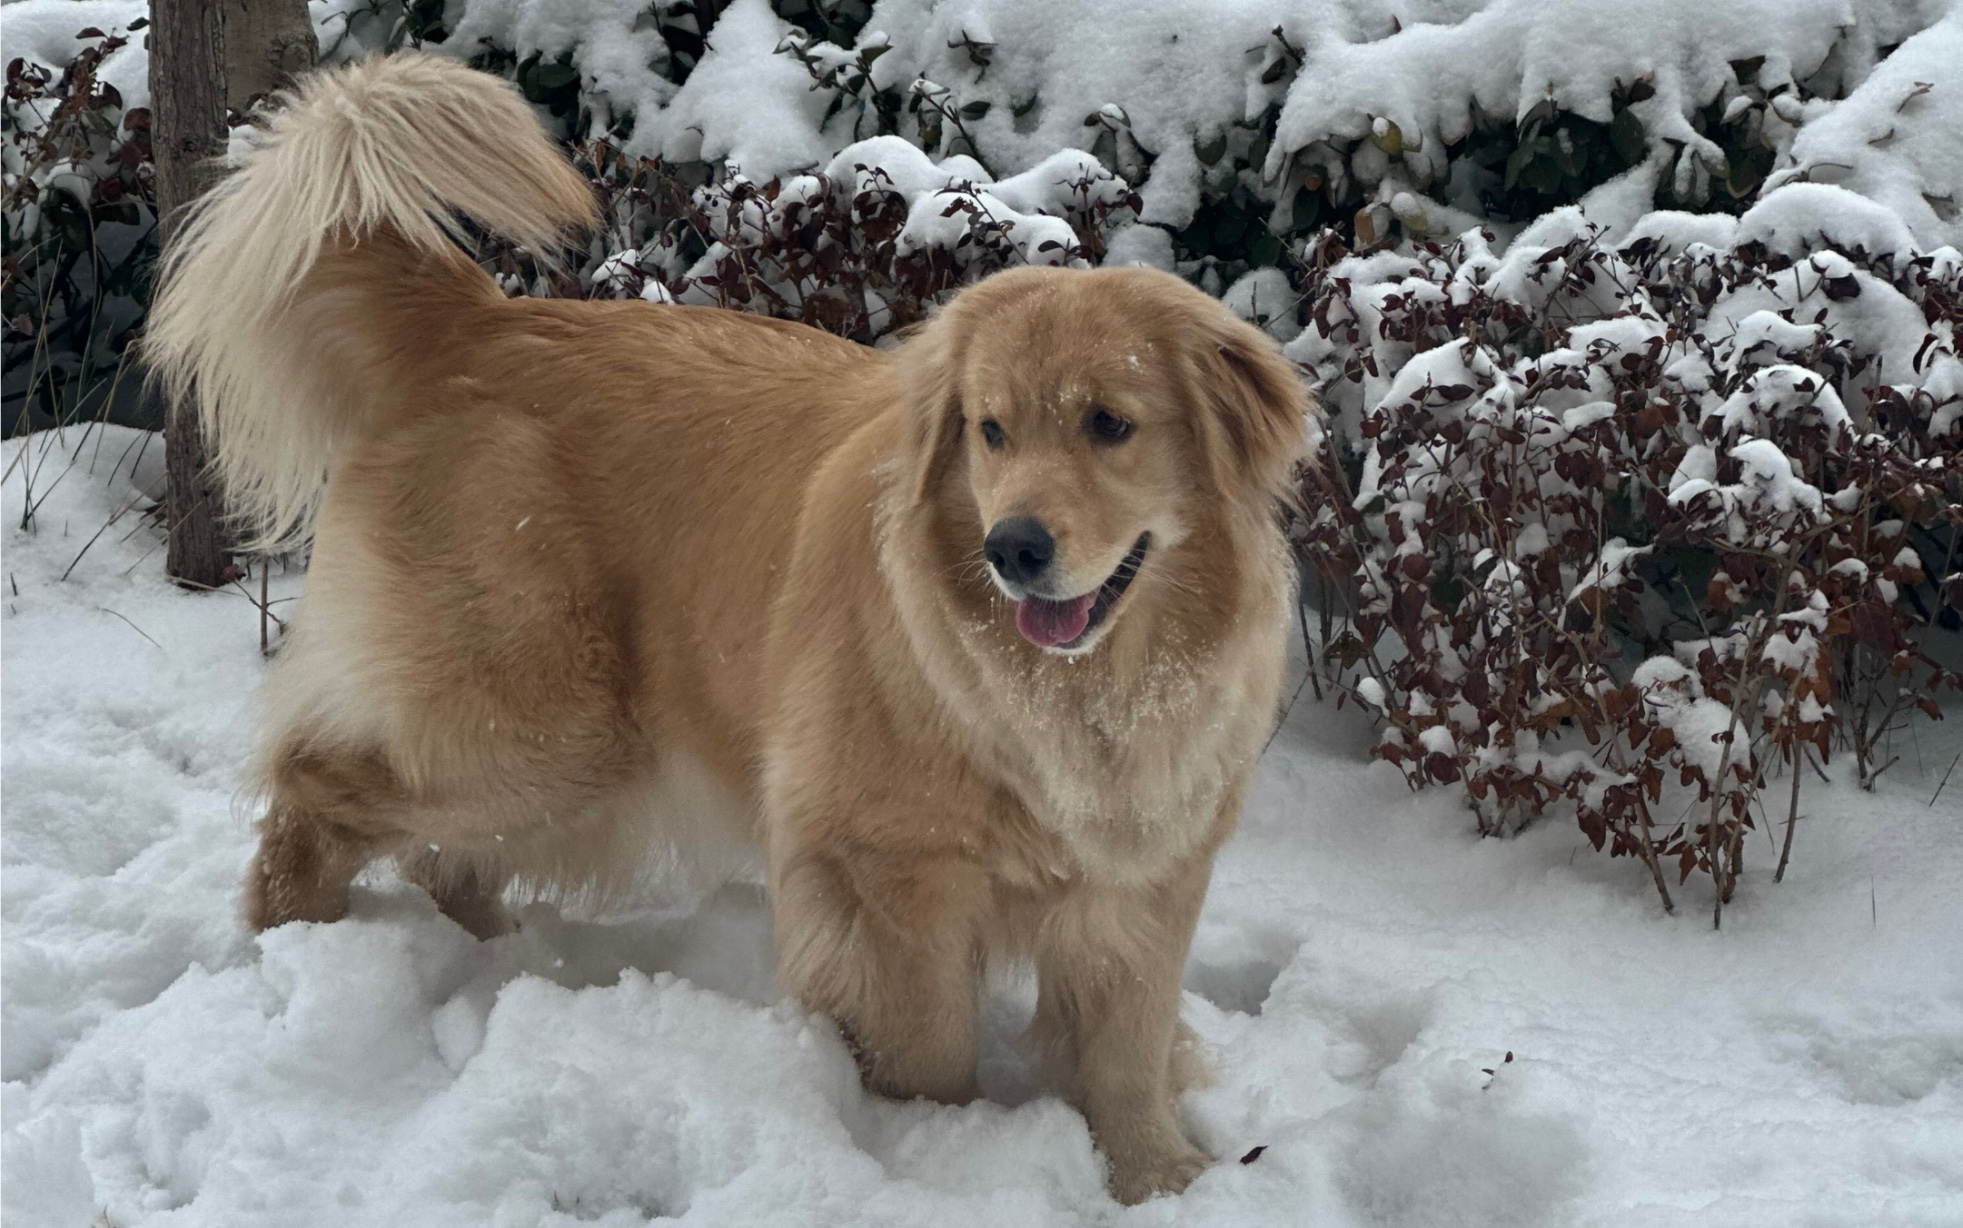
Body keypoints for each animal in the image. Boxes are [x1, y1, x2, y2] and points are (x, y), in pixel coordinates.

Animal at [149, 50, 1319, 1192]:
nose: (1013, 548)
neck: (1078, 696)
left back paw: (498, 961)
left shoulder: (1147, 879)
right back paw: (295, 940)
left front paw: (1157, 1173)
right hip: (547, 723)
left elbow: (1125, 1045)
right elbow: (931, 1048)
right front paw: (942, 1155)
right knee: (317, 785)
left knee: (446, 857)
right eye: (990, 431)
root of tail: (483, 318)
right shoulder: (882, 874)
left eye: (1110, 425)